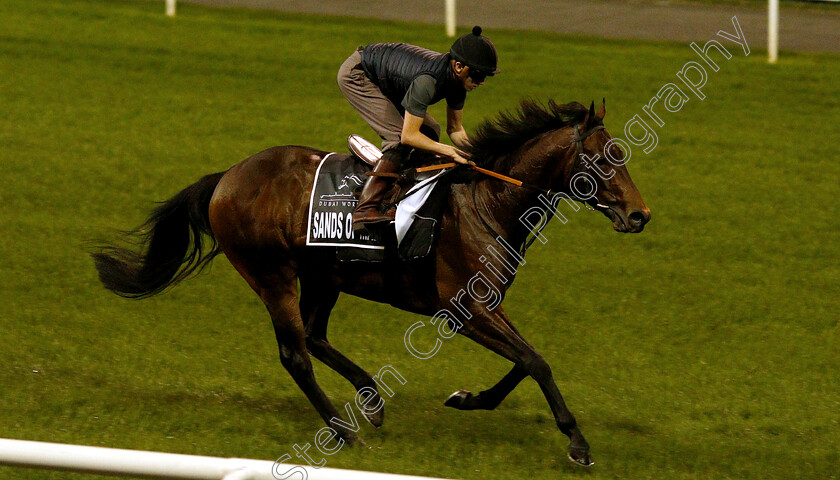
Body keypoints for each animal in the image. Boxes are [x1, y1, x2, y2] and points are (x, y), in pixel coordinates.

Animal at [90, 98, 648, 464]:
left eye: (622, 154)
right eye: (604, 158)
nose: (639, 215)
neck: (486, 202)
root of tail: (227, 177)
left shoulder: (488, 306)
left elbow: (529, 361)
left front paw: (469, 398)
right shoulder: (465, 311)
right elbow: (534, 362)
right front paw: (578, 444)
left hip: (323, 274)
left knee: (314, 336)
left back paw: (372, 401)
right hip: (272, 274)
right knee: (295, 353)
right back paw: (346, 432)